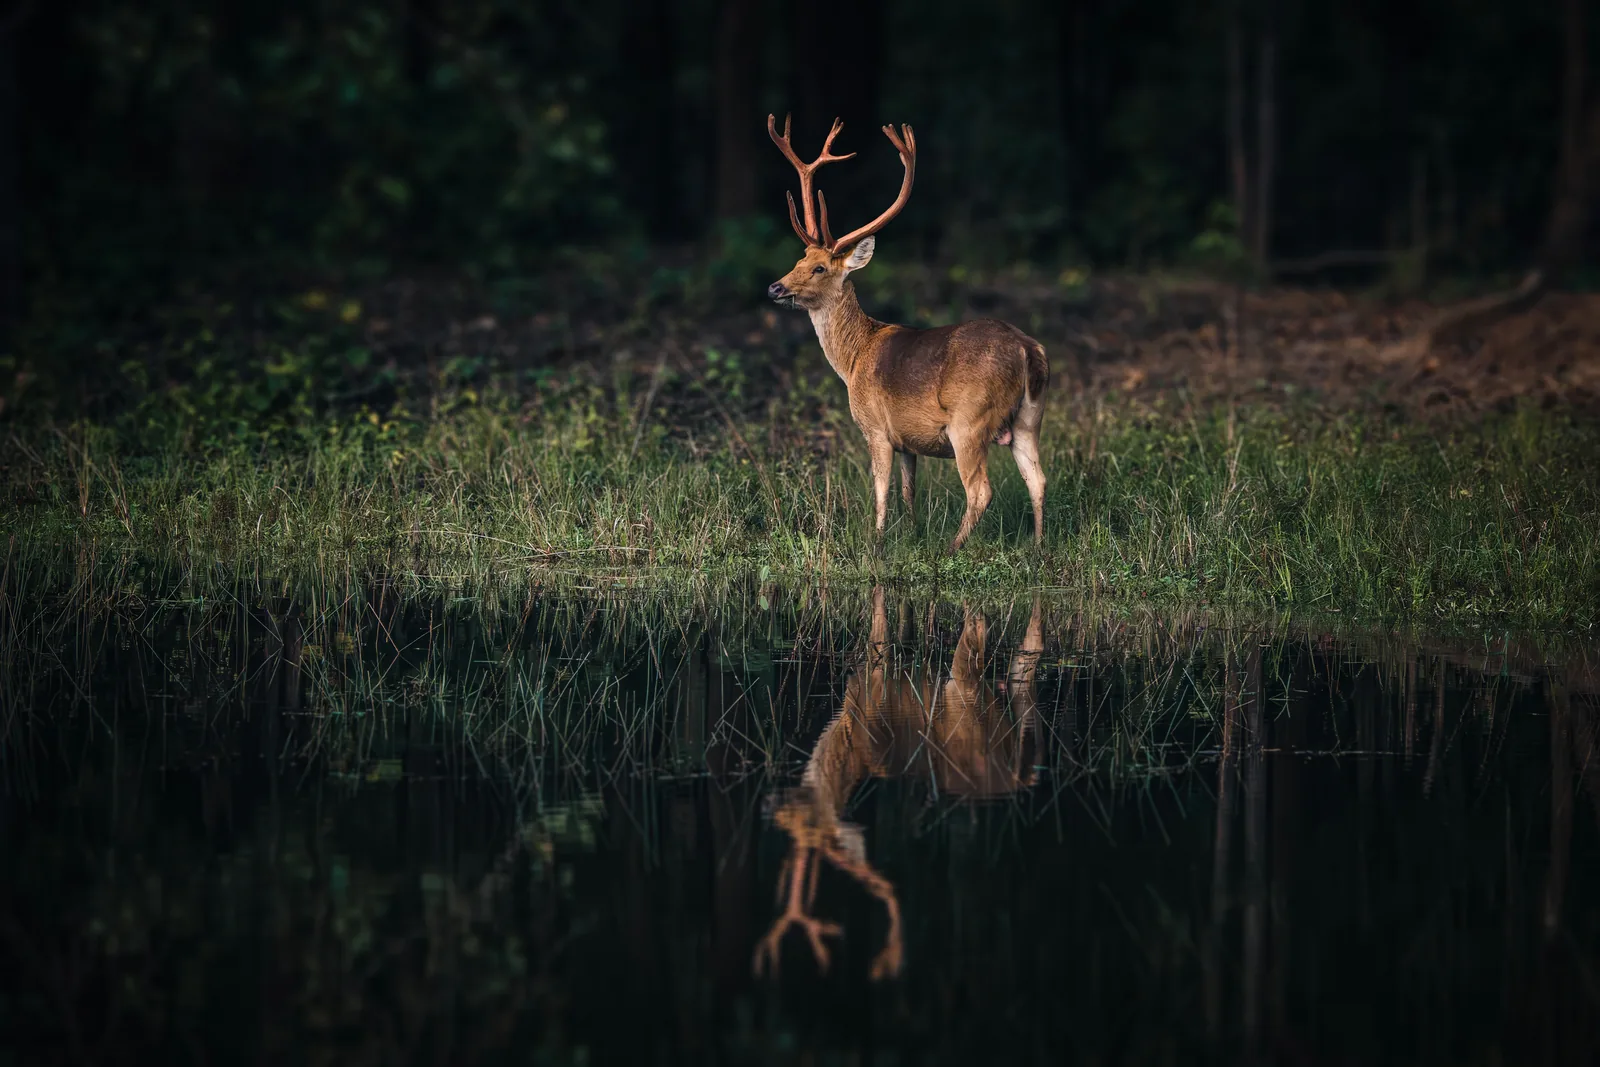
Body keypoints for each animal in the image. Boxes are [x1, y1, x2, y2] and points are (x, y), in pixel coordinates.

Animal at [752, 587, 1044, 980]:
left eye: (809, 824)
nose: (769, 808)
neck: (847, 730)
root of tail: (1014, 777)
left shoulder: (874, 679)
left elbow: (879, 627)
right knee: (1026, 665)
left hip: (966, 699)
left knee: (979, 638)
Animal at [765, 115, 1051, 553]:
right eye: (799, 259)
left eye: (819, 268)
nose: (775, 288)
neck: (853, 358)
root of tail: (1027, 350)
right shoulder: (907, 441)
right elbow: (907, 490)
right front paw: (912, 531)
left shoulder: (876, 428)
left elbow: (881, 491)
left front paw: (877, 541)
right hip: (1030, 416)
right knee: (1037, 479)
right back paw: (1037, 547)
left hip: (970, 419)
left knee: (981, 489)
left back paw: (952, 548)